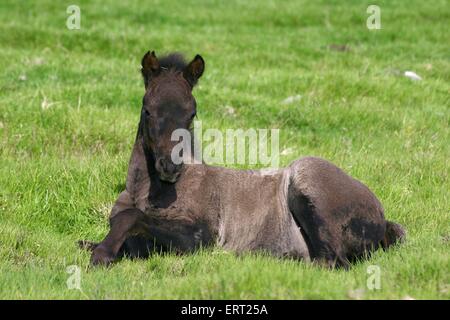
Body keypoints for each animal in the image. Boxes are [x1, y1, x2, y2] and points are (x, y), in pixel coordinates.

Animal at [80, 51, 404, 268]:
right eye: (148, 110)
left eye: (192, 113)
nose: (171, 167)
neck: (146, 191)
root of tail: (381, 215)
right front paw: (98, 245)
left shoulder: (200, 236)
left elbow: (131, 219)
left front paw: (102, 255)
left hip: (307, 178)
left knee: (331, 262)